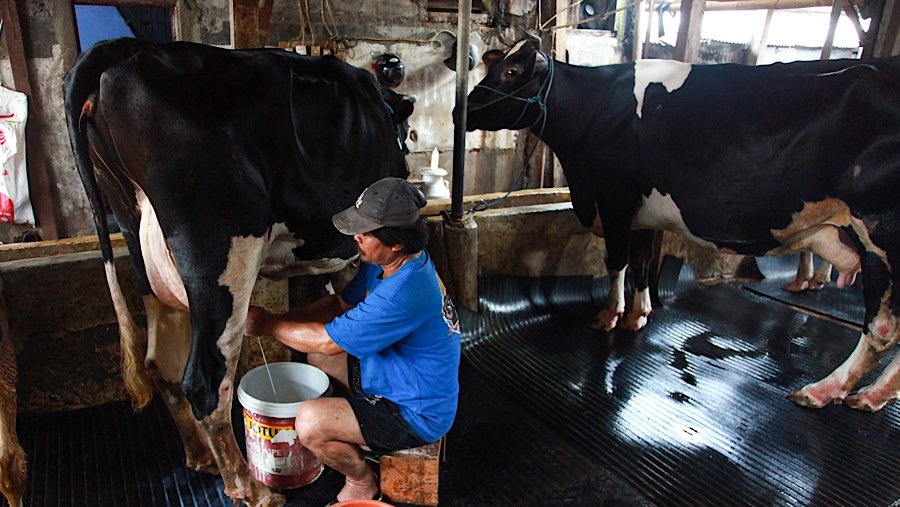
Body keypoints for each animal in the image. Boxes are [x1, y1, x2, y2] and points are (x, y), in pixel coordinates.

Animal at [63, 38, 412, 507]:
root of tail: (122, 48)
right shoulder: (355, 257)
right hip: (222, 248)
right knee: (204, 381)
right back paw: (251, 488)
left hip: (140, 247)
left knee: (160, 363)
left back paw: (201, 457)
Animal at [464, 39, 900, 412]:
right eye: (495, 66)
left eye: (512, 72)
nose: (461, 110)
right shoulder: (643, 212)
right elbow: (642, 264)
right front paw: (638, 314)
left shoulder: (615, 198)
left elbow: (617, 261)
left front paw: (609, 316)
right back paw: (873, 395)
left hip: (880, 233)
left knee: (881, 327)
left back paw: (826, 389)